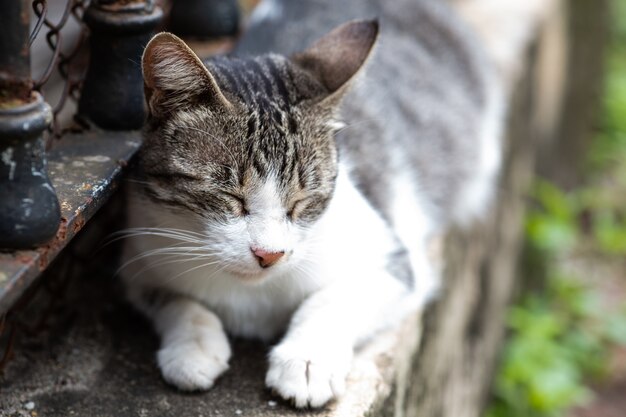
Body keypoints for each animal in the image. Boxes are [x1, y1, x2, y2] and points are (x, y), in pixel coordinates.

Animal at [118, 0, 502, 406]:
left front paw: (306, 360)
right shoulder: (141, 252)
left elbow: (334, 299)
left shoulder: (393, 260)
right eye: (230, 196)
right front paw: (192, 348)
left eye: (303, 200)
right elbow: (174, 299)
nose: (269, 255)